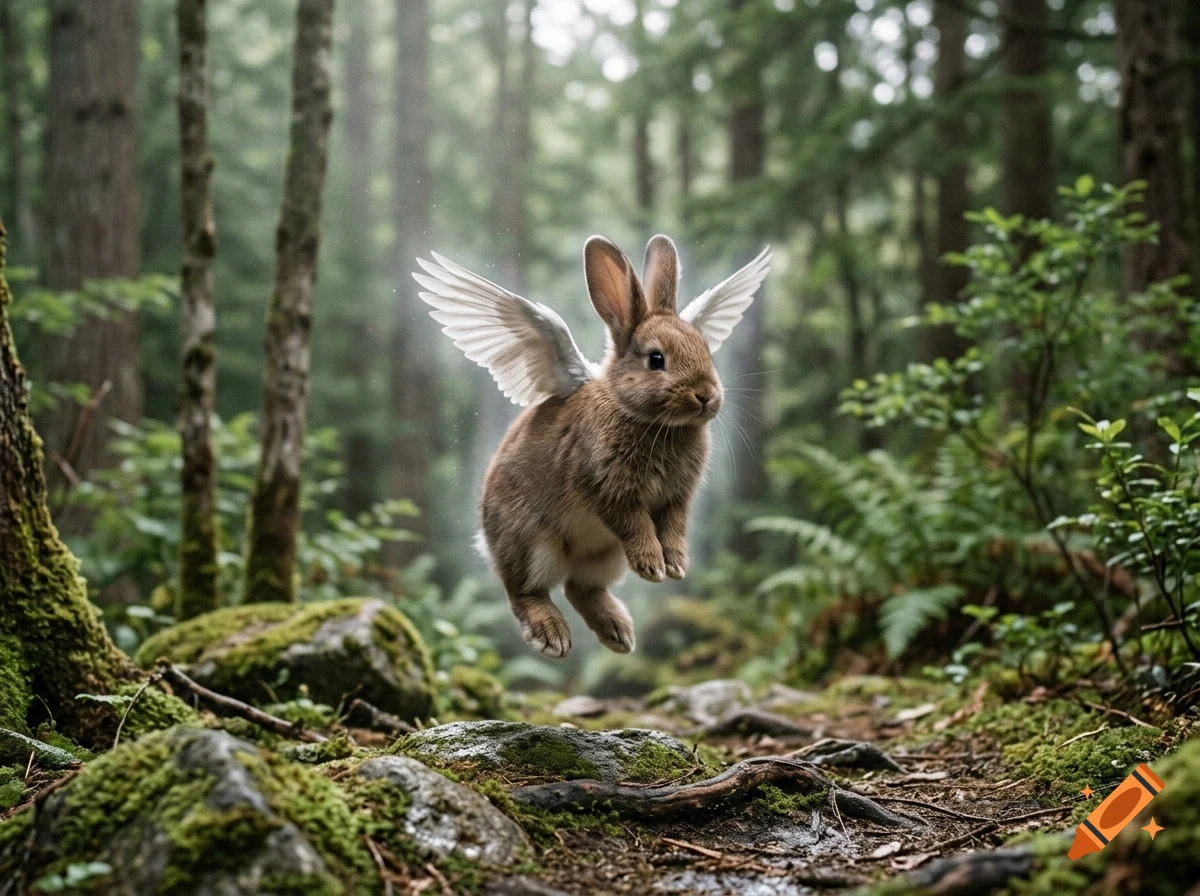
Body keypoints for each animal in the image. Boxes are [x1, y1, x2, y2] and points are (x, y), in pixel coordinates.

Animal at [414, 234, 770, 658]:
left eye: (705, 348)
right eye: (656, 360)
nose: (706, 396)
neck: (646, 418)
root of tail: (486, 541)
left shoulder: (676, 499)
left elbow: (673, 528)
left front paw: (676, 566)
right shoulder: (608, 489)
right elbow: (635, 524)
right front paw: (652, 566)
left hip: (603, 555)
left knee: (578, 587)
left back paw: (619, 632)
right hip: (533, 544)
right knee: (523, 592)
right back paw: (553, 635)